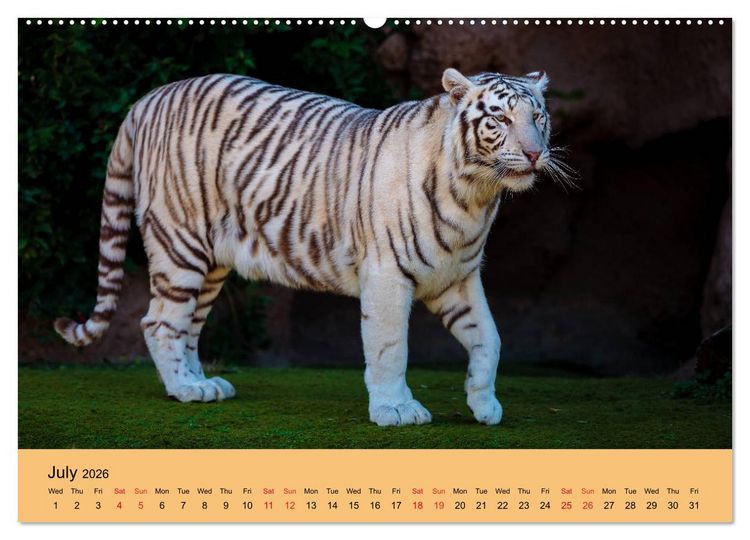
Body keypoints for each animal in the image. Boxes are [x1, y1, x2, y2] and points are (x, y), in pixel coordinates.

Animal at [54, 67, 568, 426]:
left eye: (538, 116)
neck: (475, 194)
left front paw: (484, 403)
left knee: (187, 326)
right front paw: (395, 411)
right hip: (181, 243)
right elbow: (390, 347)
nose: (534, 153)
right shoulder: (386, 275)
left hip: (210, 261)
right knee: (159, 322)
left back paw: (200, 383)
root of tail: (146, 99)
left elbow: (490, 338)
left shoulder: (457, 276)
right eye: (500, 117)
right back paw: (185, 389)